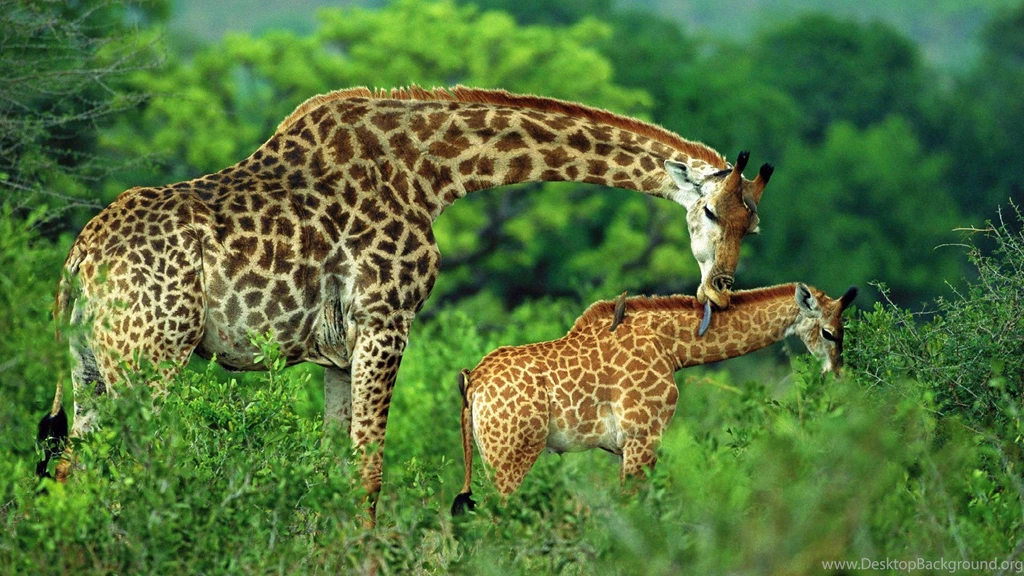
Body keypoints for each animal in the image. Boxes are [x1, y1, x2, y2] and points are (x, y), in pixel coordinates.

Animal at [35, 85, 774, 519]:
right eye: (711, 209)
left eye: (754, 225)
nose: (720, 289)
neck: (433, 173)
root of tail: (78, 262)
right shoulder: (385, 323)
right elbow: (370, 473)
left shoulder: (336, 353)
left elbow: (336, 469)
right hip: (150, 359)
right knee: (133, 466)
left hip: (90, 364)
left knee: (72, 466)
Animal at [450, 283, 858, 514]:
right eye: (829, 332)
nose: (837, 375)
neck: (671, 346)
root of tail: (472, 380)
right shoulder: (643, 435)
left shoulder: (625, 446)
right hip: (511, 454)